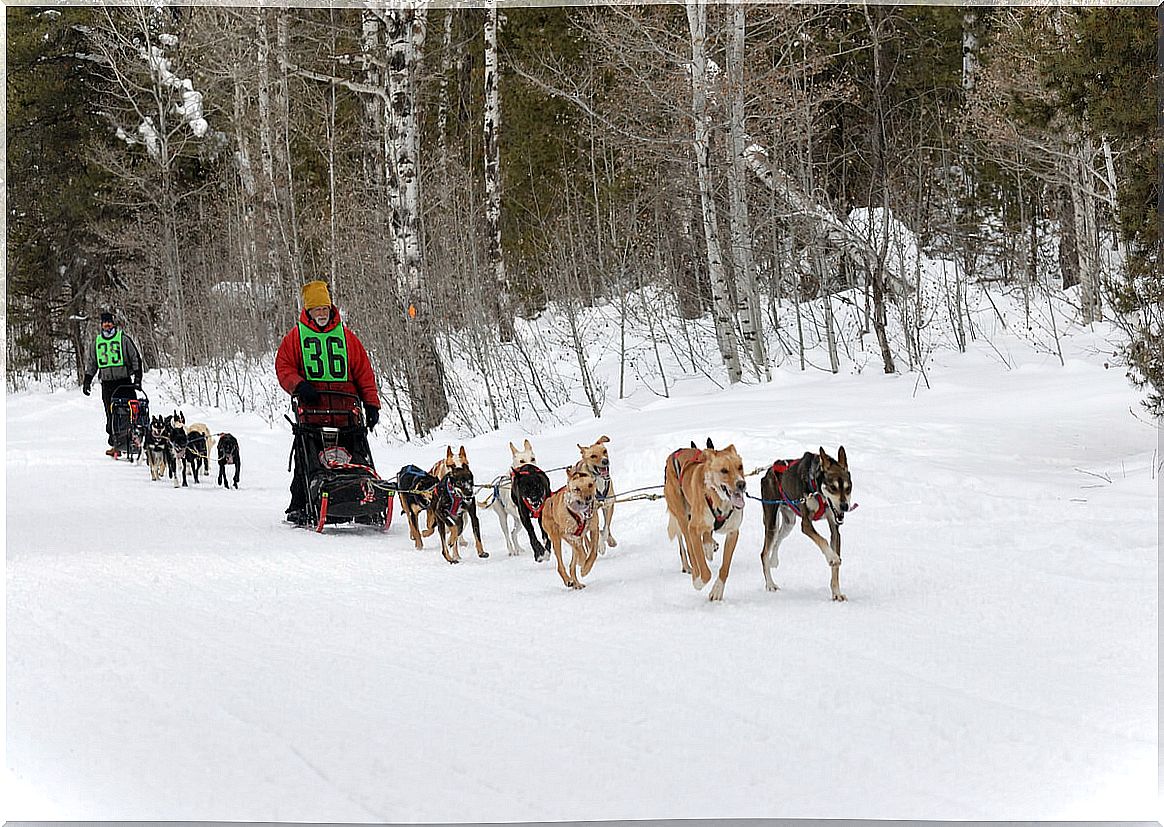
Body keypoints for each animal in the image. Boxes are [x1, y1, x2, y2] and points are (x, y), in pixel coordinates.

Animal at [665, 447, 744, 601]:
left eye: (740, 467)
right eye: (724, 470)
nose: (741, 484)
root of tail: (674, 454)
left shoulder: (733, 532)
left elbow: (725, 567)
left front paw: (718, 590)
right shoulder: (693, 529)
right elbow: (704, 570)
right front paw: (699, 582)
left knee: (706, 536)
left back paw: (708, 545)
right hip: (683, 519)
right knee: (689, 548)